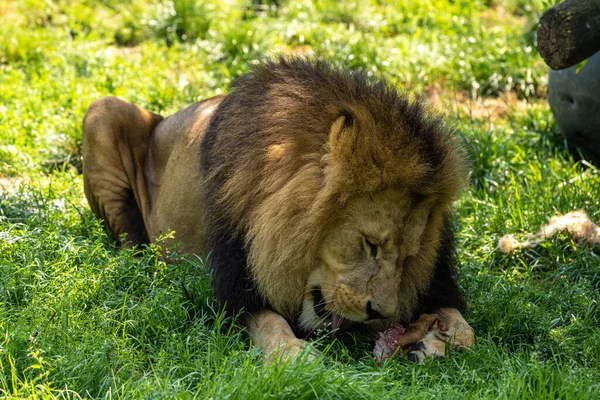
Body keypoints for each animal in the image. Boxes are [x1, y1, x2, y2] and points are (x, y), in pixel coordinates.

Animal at [82, 58, 474, 362]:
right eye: (370, 245)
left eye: (409, 258)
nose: (380, 312)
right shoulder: (235, 286)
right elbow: (270, 324)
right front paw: (293, 354)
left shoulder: (436, 284)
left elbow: (464, 329)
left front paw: (436, 340)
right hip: (102, 111)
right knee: (130, 242)